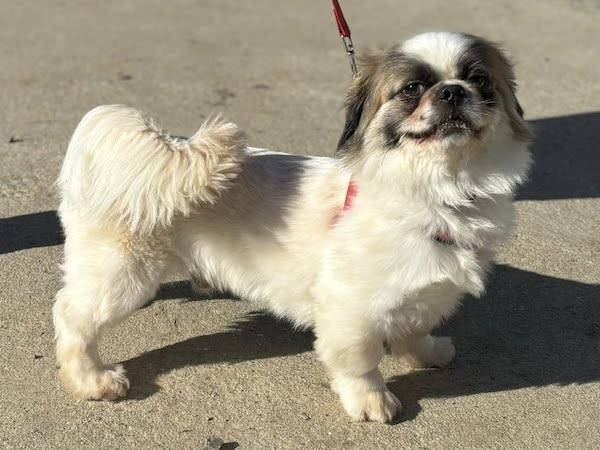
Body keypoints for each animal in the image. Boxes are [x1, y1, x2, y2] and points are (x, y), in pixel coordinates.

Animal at [53, 31, 531, 423]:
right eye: (412, 89)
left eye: (480, 81)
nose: (452, 91)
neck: (442, 195)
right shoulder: (349, 308)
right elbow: (359, 362)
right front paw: (371, 400)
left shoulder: (425, 291)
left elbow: (417, 326)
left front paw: (427, 353)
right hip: (123, 275)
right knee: (73, 317)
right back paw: (92, 379)